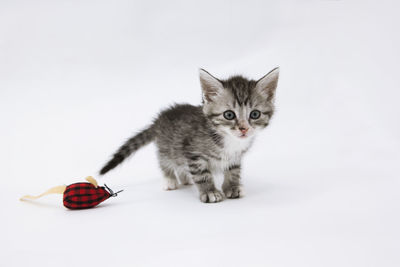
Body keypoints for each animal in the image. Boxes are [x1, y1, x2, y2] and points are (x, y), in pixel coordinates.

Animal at [99, 68, 280, 204]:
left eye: (255, 114)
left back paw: (185, 178)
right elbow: (203, 174)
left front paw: (232, 187)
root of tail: (159, 119)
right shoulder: (193, 153)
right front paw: (210, 191)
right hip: (166, 147)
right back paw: (170, 180)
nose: (244, 129)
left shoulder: (235, 157)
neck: (228, 140)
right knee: (164, 162)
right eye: (229, 115)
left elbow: (233, 171)